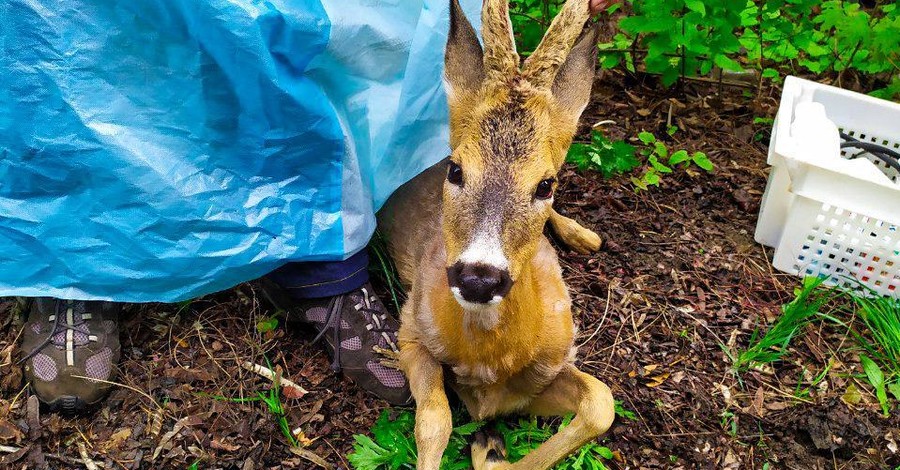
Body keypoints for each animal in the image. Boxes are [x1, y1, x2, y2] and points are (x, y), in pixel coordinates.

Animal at [376, 0, 616, 464]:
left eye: (546, 184)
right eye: (456, 170)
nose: (479, 277)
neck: (490, 360)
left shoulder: (545, 370)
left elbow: (601, 403)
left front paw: (490, 449)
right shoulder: (411, 329)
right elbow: (434, 421)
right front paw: (487, 446)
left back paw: (585, 235)